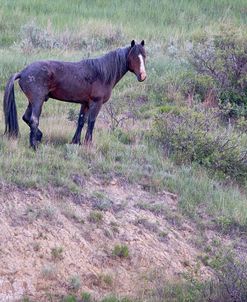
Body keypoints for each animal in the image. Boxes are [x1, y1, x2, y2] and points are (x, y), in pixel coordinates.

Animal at [3, 39, 147, 150]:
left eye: (144, 56)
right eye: (133, 57)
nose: (143, 76)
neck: (101, 73)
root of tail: (22, 72)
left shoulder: (85, 103)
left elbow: (81, 121)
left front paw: (76, 142)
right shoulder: (96, 103)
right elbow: (91, 122)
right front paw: (88, 143)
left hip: (32, 101)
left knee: (26, 117)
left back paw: (38, 136)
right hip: (38, 101)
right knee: (33, 120)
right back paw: (34, 146)